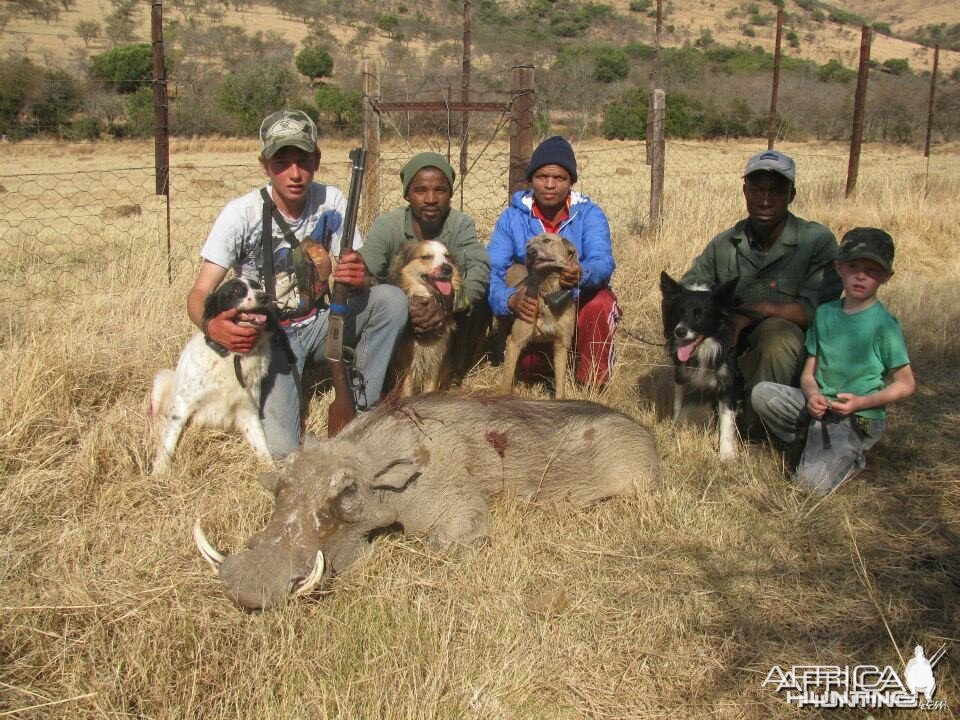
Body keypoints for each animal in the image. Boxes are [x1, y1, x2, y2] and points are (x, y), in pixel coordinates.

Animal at [390, 240, 464, 396]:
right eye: (425, 257)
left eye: (447, 256)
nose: (448, 268)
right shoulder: (407, 363)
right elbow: (406, 391)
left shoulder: (435, 360)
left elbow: (430, 389)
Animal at [498, 233, 572, 400]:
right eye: (528, 245)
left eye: (547, 240)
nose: (530, 253)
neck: (547, 292)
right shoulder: (514, 342)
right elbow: (505, 384)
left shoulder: (561, 346)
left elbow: (560, 386)